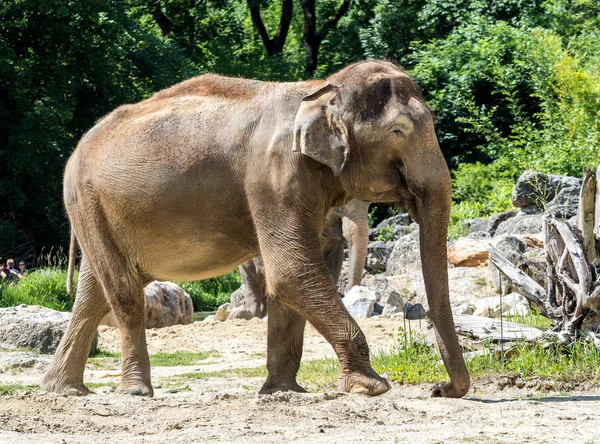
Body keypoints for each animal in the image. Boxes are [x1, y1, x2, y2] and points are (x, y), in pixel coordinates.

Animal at [239, 199, 370, 320]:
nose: (351, 291)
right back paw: (254, 316)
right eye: (339, 209)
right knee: (252, 282)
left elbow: (335, 262)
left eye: (368, 205)